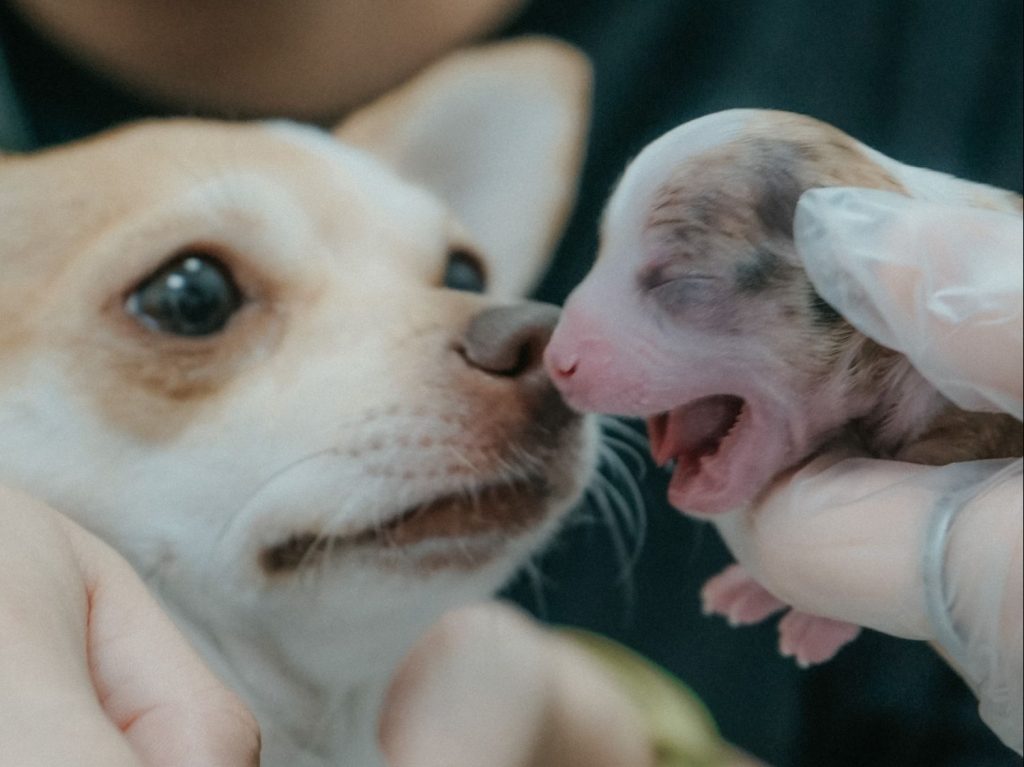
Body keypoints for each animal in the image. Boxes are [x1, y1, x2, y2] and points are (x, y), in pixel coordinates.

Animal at [548, 105, 1019, 663]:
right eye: (601, 250)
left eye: (681, 282)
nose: (555, 362)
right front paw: (754, 587)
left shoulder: (965, 424)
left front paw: (821, 619)